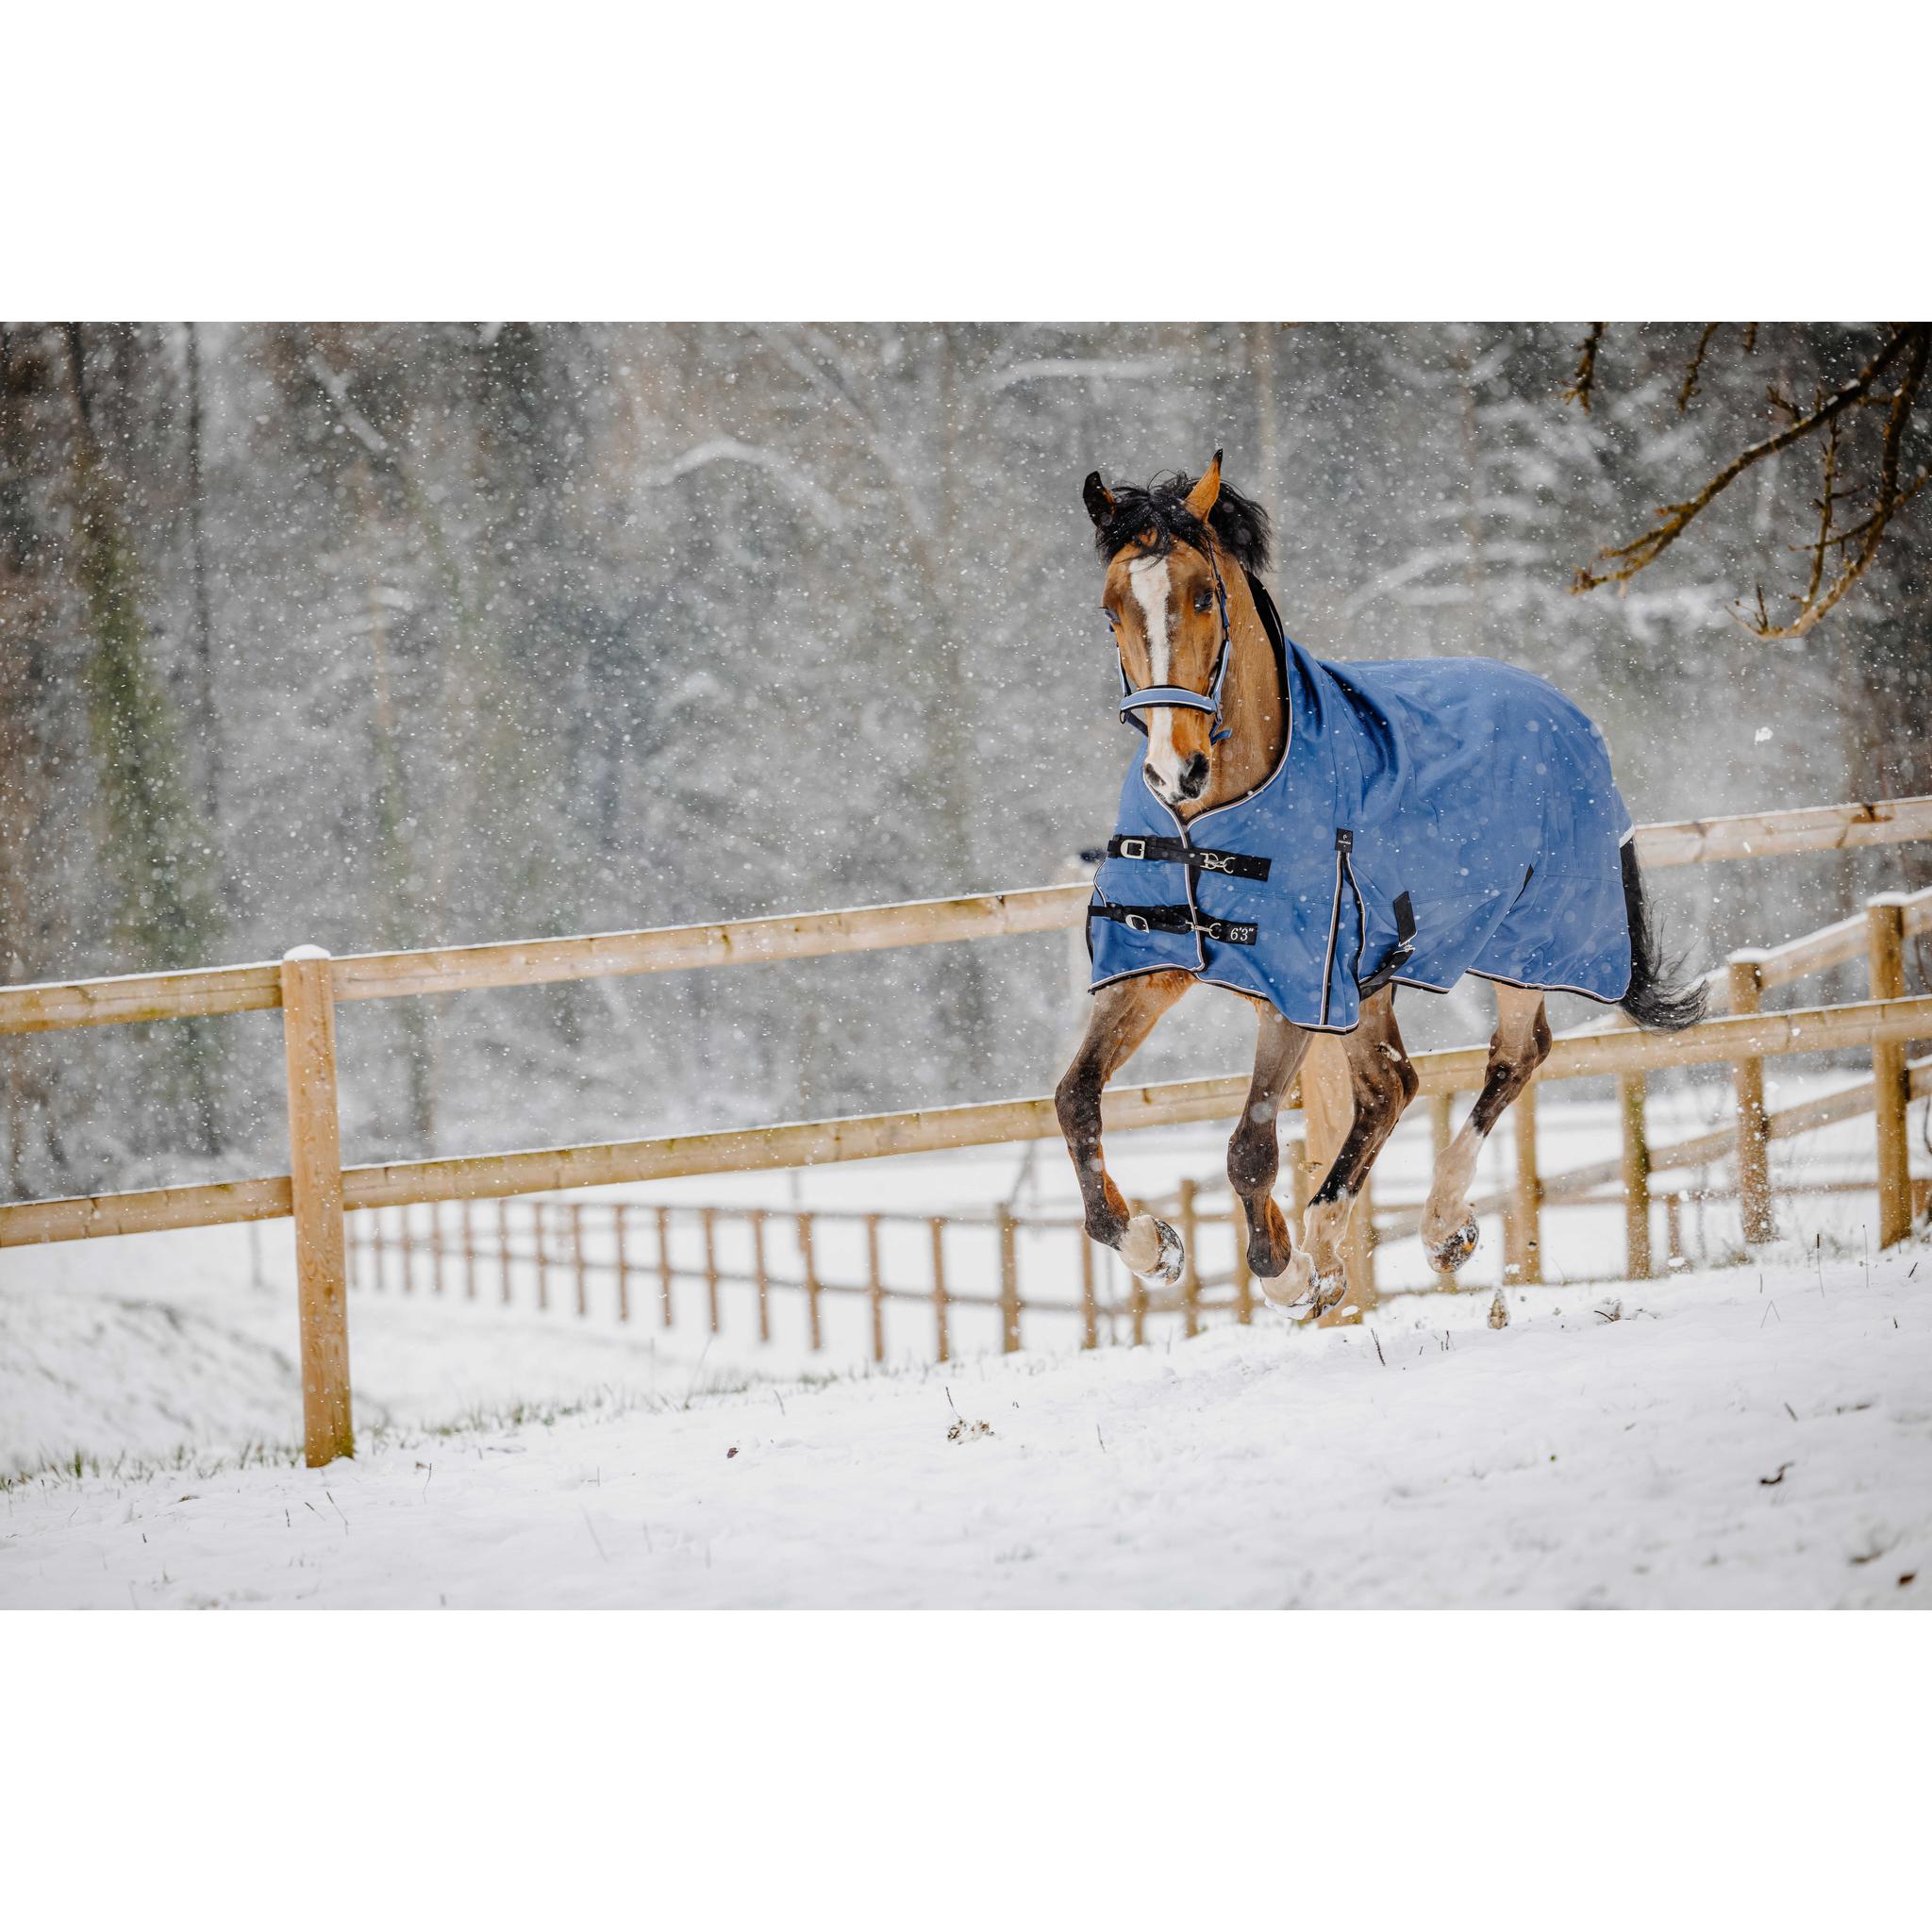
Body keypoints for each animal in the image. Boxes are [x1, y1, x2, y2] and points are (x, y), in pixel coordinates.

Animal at [1054, 452, 1705, 1320]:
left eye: (1202, 596)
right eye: (1111, 609)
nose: (1173, 771)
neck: (1217, 814)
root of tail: (1566, 711)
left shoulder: (1300, 980)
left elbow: (1251, 1145)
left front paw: (1288, 1275)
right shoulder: (1158, 963)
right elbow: (1077, 1101)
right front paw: (1153, 1246)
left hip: (1526, 943)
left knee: (1515, 1056)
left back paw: (1437, 1226)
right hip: (1377, 977)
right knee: (1391, 1086)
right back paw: (1340, 1240)